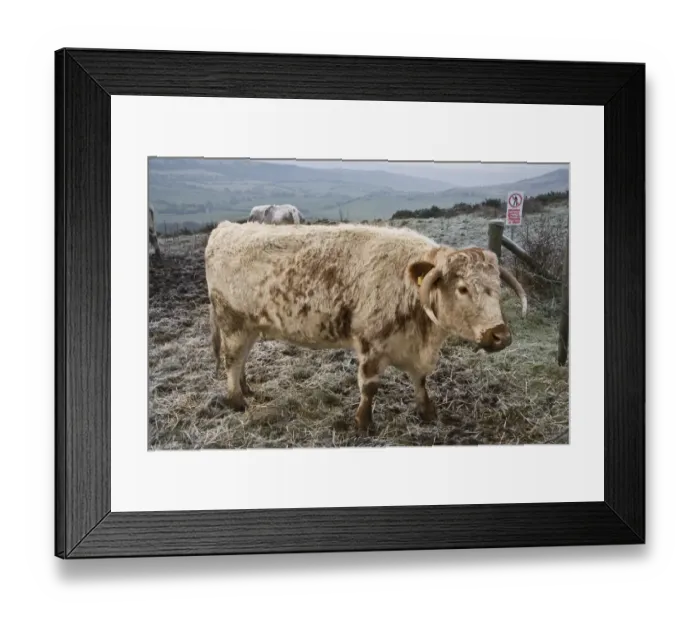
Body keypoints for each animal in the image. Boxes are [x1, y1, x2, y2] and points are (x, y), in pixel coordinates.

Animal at [205, 222, 527, 431]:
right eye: (462, 288)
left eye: (497, 286)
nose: (499, 335)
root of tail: (226, 228)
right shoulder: (371, 345)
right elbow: (369, 387)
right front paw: (363, 422)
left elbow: (421, 381)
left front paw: (427, 412)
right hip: (232, 322)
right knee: (232, 360)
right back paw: (237, 400)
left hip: (248, 326)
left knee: (242, 359)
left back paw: (247, 389)